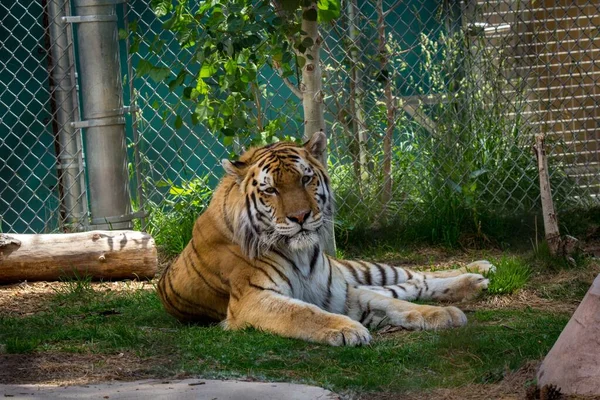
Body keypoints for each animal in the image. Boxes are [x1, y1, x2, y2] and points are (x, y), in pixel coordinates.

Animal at [157, 133, 494, 346]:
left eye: (306, 179)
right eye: (271, 190)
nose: (300, 216)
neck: (301, 254)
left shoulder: (340, 291)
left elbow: (393, 304)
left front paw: (443, 314)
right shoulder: (252, 299)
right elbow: (302, 312)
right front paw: (346, 329)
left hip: (363, 269)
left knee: (418, 276)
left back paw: (479, 272)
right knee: (411, 285)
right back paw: (478, 278)